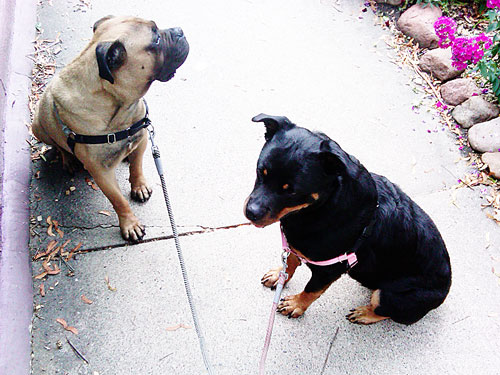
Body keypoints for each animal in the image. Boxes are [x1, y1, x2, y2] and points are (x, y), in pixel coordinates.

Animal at [32, 16, 189, 242]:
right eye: (157, 39)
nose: (180, 31)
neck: (119, 108)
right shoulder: (102, 173)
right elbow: (118, 200)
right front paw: (130, 224)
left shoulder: (142, 137)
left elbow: (137, 167)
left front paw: (139, 185)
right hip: (38, 125)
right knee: (59, 146)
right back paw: (68, 159)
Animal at [244, 114, 452, 326]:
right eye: (260, 172)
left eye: (292, 191)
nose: (251, 213)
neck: (317, 209)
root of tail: (445, 290)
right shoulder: (295, 244)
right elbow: (291, 262)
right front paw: (280, 274)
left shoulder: (329, 270)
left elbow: (311, 291)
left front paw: (296, 304)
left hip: (391, 295)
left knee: (385, 310)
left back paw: (365, 313)